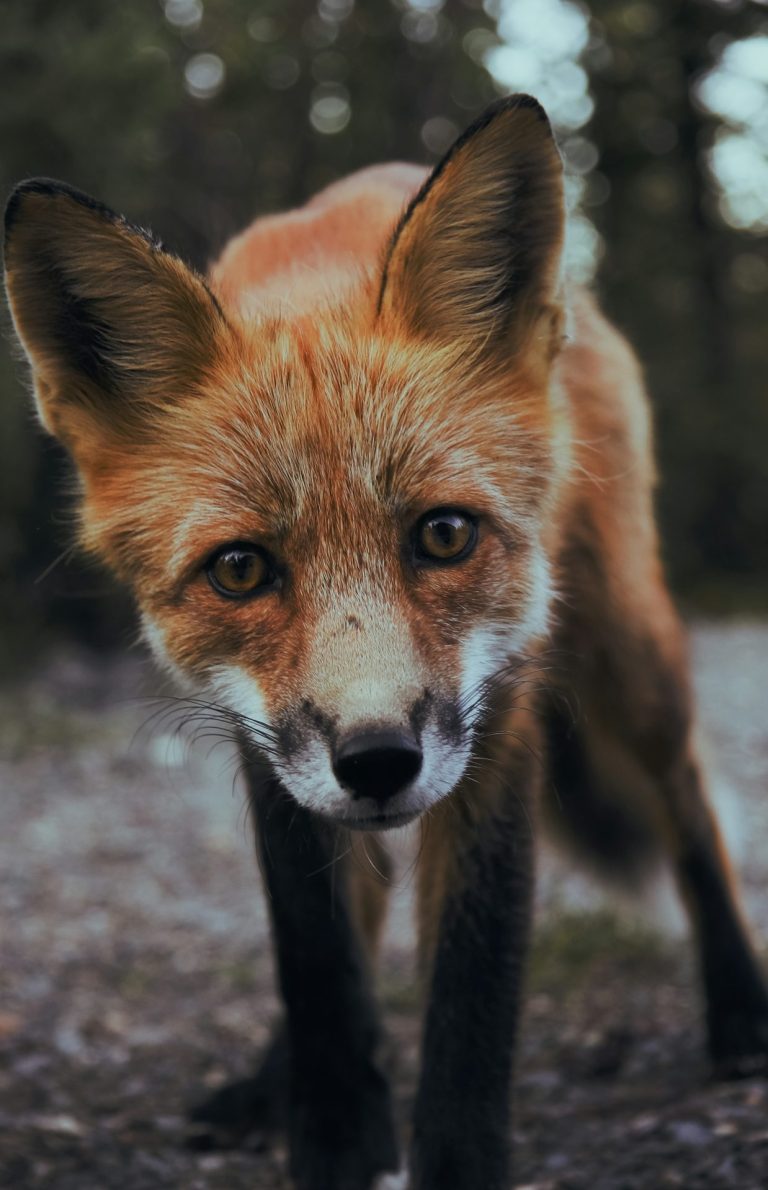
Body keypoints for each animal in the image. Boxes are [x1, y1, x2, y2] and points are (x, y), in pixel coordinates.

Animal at [5, 95, 766, 1190]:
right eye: (241, 570)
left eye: (443, 534)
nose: (376, 762)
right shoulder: (265, 742)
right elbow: (318, 956)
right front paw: (331, 1133)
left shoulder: (500, 718)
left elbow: (472, 984)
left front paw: (451, 1160)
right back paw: (270, 1079)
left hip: (631, 651)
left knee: (690, 803)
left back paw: (740, 1006)